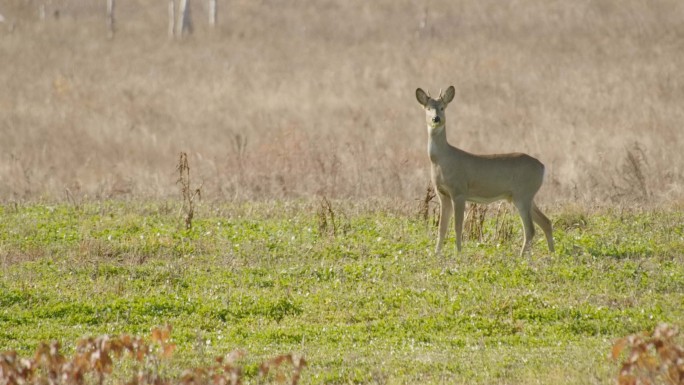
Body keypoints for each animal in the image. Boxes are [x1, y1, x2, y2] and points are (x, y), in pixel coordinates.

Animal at [414, 85, 552, 256]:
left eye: (442, 107)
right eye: (428, 108)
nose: (436, 119)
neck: (442, 159)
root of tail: (542, 167)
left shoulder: (459, 191)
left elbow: (457, 227)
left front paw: (458, 254)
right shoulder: (442, 193)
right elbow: (441, 228)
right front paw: (436, 254)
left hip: (523, 194)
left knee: (530, 229)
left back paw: (521, 257)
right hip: (522, 196)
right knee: (546, 222)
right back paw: (552, 255)